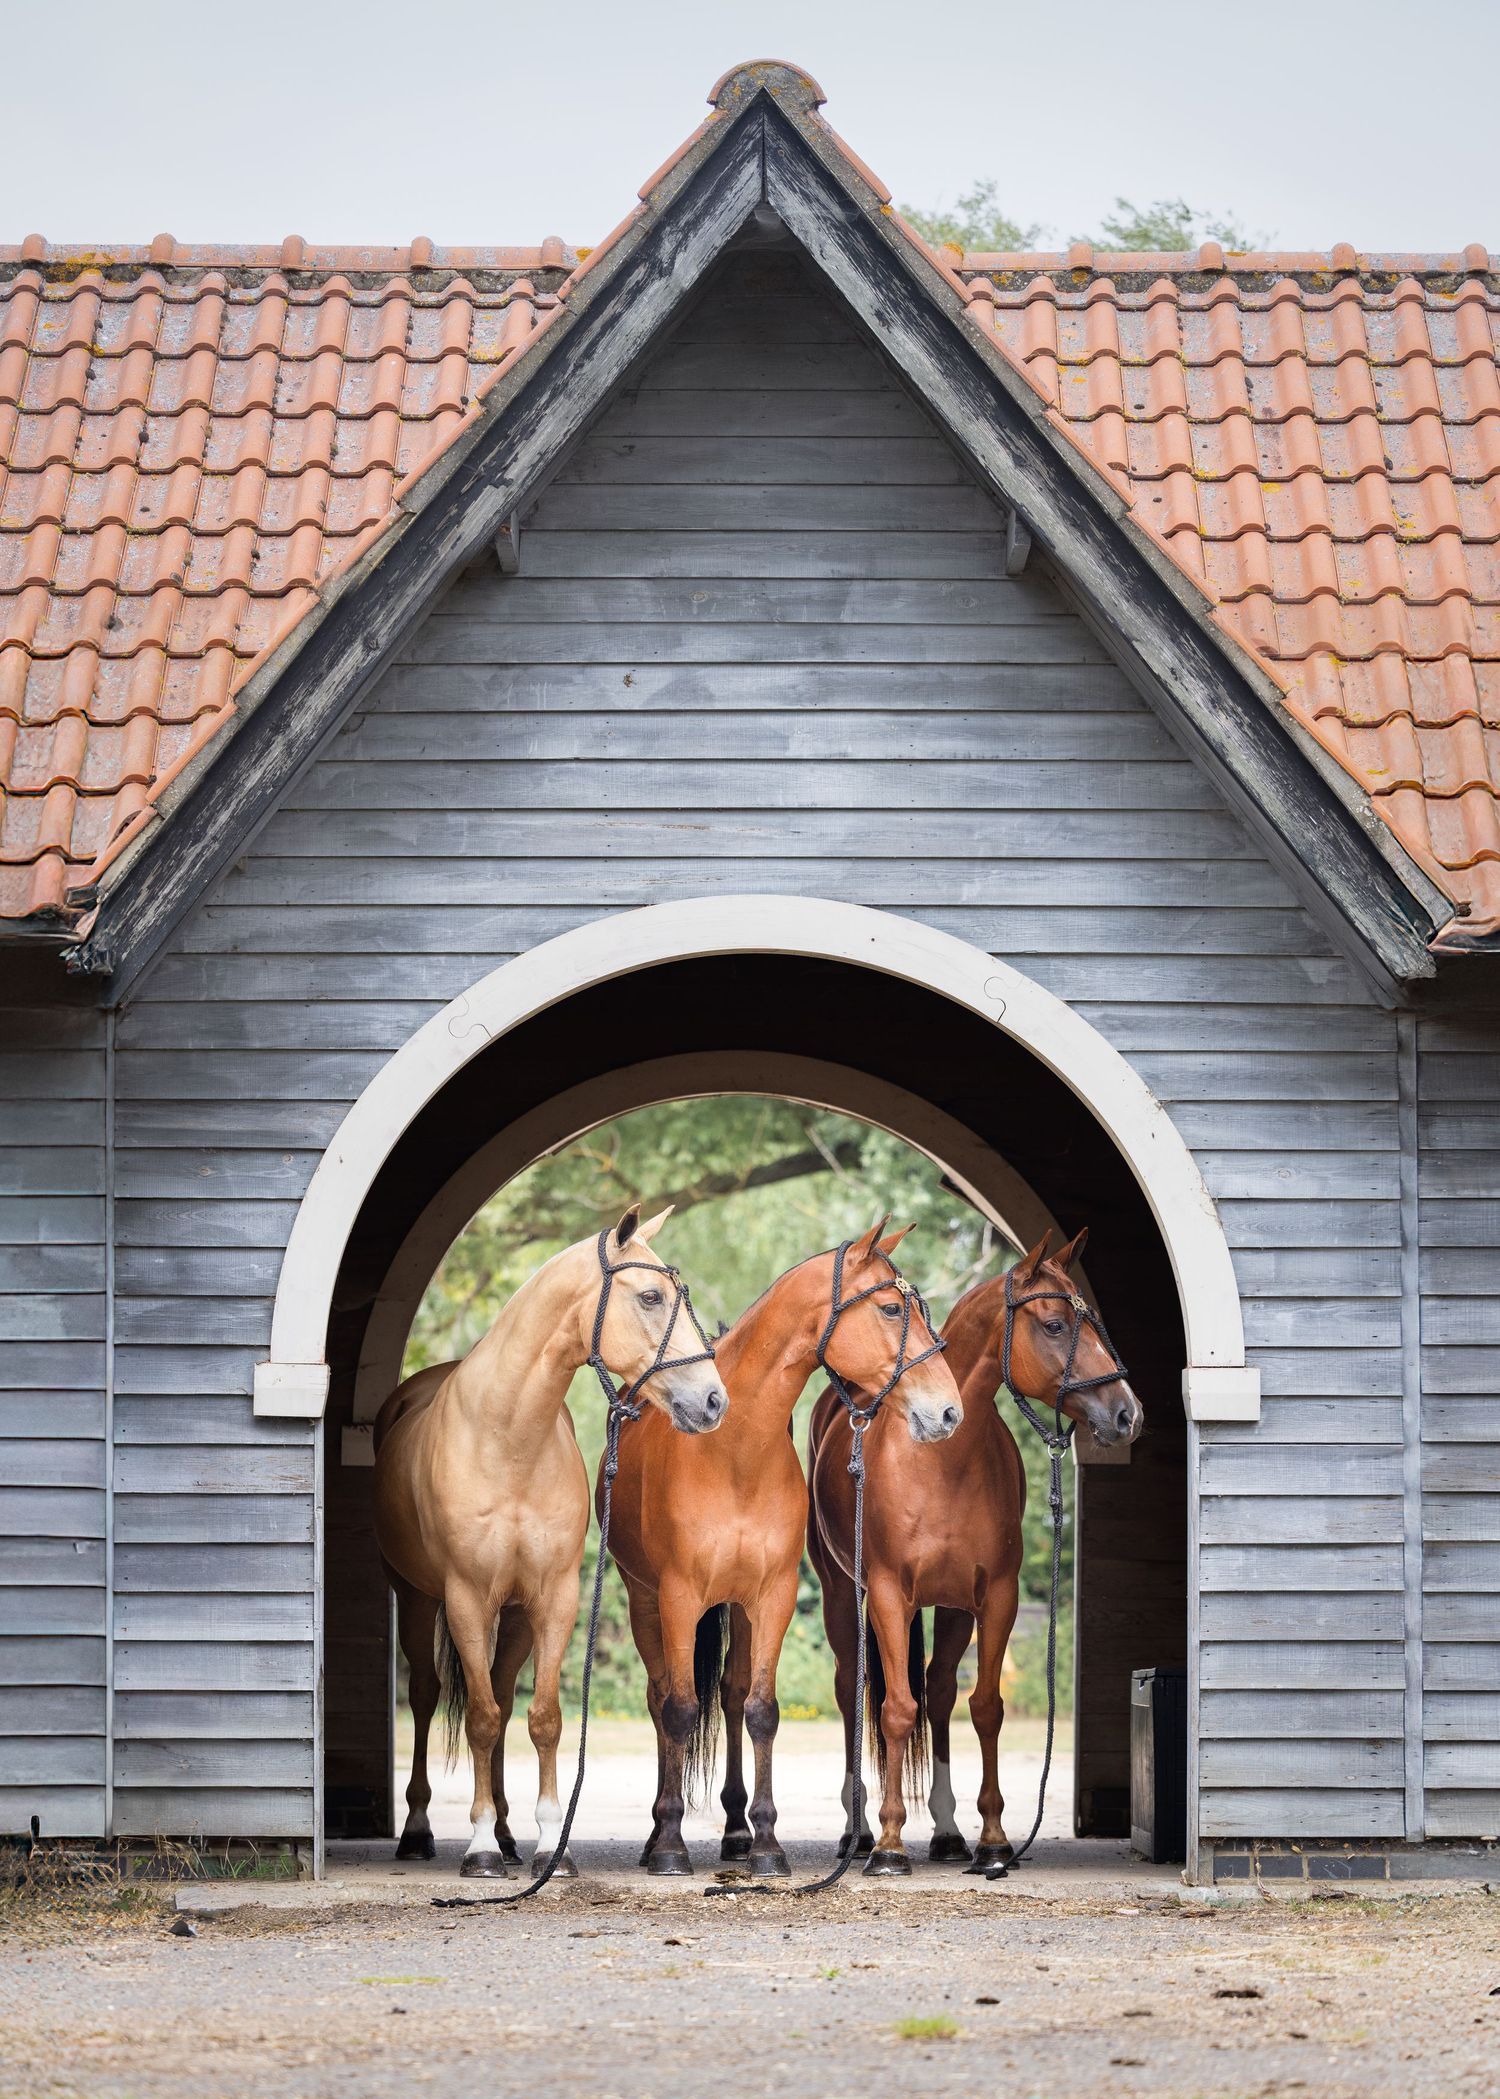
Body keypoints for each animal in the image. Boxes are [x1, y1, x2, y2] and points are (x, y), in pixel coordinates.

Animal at [373, 1205, 726, 1878]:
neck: (508, 1437)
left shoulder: (553, 1599)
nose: (714, 1400)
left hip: (512, 1617)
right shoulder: (466, 1599)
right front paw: (480, 1850)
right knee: (431, 1698)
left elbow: (543, 1719)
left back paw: (510, 1835)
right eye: (650, 1296)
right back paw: (423, 1831)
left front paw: (547, 1848)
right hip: (422, 1599)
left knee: (505, 1697)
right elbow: (481, 1720)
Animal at [604, 1217, 965, 1877]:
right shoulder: (677, 1597)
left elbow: (761, 1711)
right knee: (660, 1697)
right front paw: (669, 1845)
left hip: (739, 1610)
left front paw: (767, 1844)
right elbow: (679, 1709)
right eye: (890, 1308)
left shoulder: (772, 1597)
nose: (949, 1411)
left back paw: (735, 1833)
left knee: (731, 1693)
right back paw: (657, 1833)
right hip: (643, 1600)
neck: (735, 1451)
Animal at [807, 1227, 1142, 1874]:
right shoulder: (887, 1594)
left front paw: (993, 1839)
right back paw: (857, 1829)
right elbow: (894, 1708)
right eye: (1055, 1325)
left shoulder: (994, 1597)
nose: (1127, 1414)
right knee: (852, 1691)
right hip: (843, 1596)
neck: (940, 1459)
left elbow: (983, 1706)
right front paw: (888, 1844)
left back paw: (945, 1831)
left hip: (952, 1607)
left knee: (938, 1692)